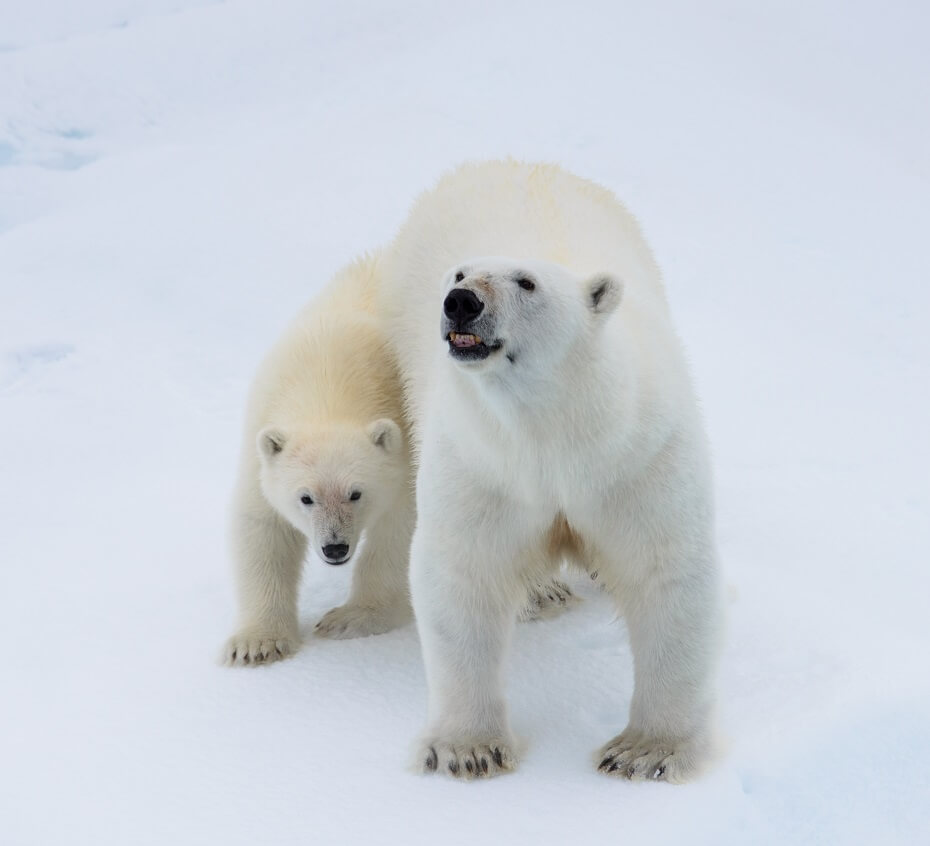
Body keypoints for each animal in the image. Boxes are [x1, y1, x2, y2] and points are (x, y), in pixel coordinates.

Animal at [221, 255, 414, 664]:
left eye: (356, 493)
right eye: (306, 498)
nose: (335, 548)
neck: (327, 382)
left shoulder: (406, 441)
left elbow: (399, 527)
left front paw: (350, 619)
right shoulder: (262, 437)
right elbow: (262, 528)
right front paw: (255, 645)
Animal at [380, 162, 720, 784]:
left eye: (527, 283)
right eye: (460, 272)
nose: (460, 301)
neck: (555, 430)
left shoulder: (637, 456)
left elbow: (666, 570)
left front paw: (646, 753)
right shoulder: (485, 464)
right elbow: (463, 573)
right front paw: (467, 749)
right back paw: (543, 594)